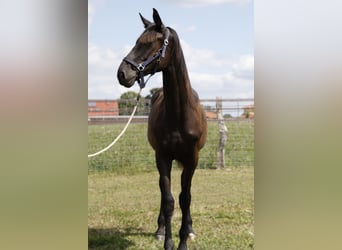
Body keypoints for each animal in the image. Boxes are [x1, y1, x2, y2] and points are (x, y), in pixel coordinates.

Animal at [117, 8, 207, 249]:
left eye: (151, 43)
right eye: (136, 41)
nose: (122, 73)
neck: (179, 113)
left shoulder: (192, 159)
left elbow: (186, 198)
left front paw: (184, 239)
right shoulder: (163, 157)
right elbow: (168, 200)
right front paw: (167, 241)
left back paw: (190, 229)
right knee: (162, 190)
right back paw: (159, 230)